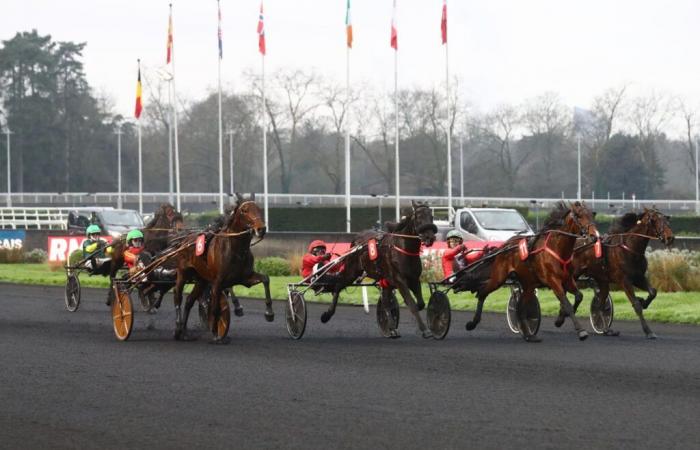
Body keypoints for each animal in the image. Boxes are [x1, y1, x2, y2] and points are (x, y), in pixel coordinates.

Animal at [174, 194, 272, 344]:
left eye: (259, 208)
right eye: (244, 210)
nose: (261, 229)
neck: (236, 249)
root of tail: (185, 240)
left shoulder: (245, 278)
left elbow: (266, 279)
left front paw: (269, 313)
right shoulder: (218, 282)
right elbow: (215, 307)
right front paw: (216, 334)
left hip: (201, 279)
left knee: (189, 300)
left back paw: (184, 332)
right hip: (183, 273)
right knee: (178, 296)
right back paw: (178, 328)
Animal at [318, 200, 438, 338]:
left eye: (431, 216)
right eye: (418, 217)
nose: (430, 237)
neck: (403, 250)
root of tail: (357, 239)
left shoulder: (414, 279)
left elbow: (420, 303)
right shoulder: (399, 280)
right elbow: (411, 303)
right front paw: (425, 330)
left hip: (384, 279)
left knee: (385, 301)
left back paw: (391, 328)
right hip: (352, 272)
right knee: (338, 286)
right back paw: (327, 315)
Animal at [456, 200, 600, 342]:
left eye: (592, 215)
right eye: (579, 216)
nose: (594, 236)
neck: (557, 248)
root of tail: (505, 245)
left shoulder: (568, 279)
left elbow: (579, 296)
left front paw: (560, 319)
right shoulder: (553, 280)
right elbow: (567, 303)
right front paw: (581, 331)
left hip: (529, 283)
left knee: (520, 308)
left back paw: (529, 335)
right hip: (499, 277)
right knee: (482, 293)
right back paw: (472, 323)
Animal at [568, 207, 676, 338]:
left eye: (666, 219)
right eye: (654, 220)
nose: (670, 237)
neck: (630, 249)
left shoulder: (638, 278)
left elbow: (653, 292)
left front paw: (644, 302)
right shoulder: (625, 281)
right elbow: (636, 305)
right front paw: (648, 331)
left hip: (602, 281)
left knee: (600, 304)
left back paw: (606, 329)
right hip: (574, 274)